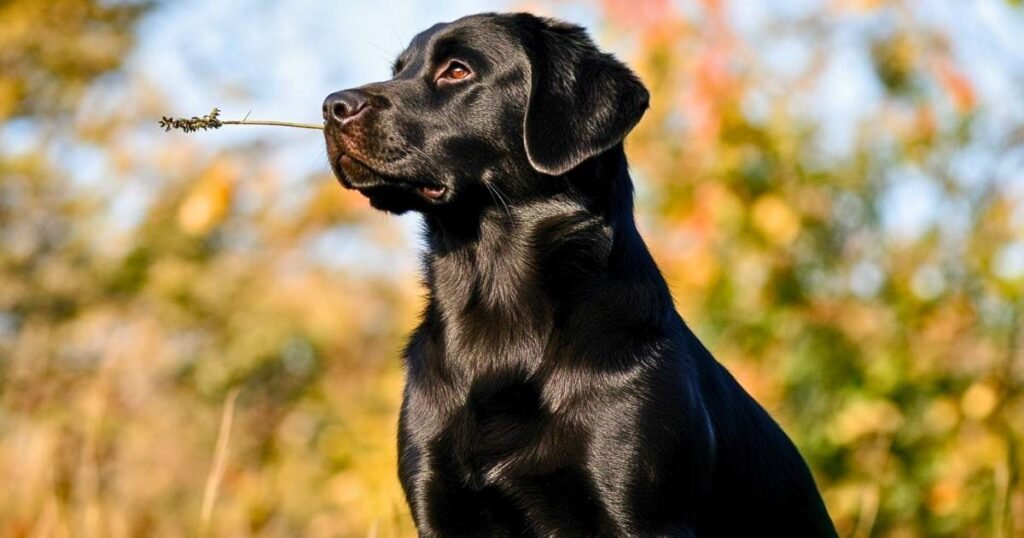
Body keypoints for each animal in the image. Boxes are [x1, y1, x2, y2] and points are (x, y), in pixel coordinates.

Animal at [323, 12, 835, 536]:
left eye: (457, 71)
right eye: (399, 69)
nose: (332, 106)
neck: (498, 321)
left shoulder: (639, 508)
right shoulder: (438, 502)